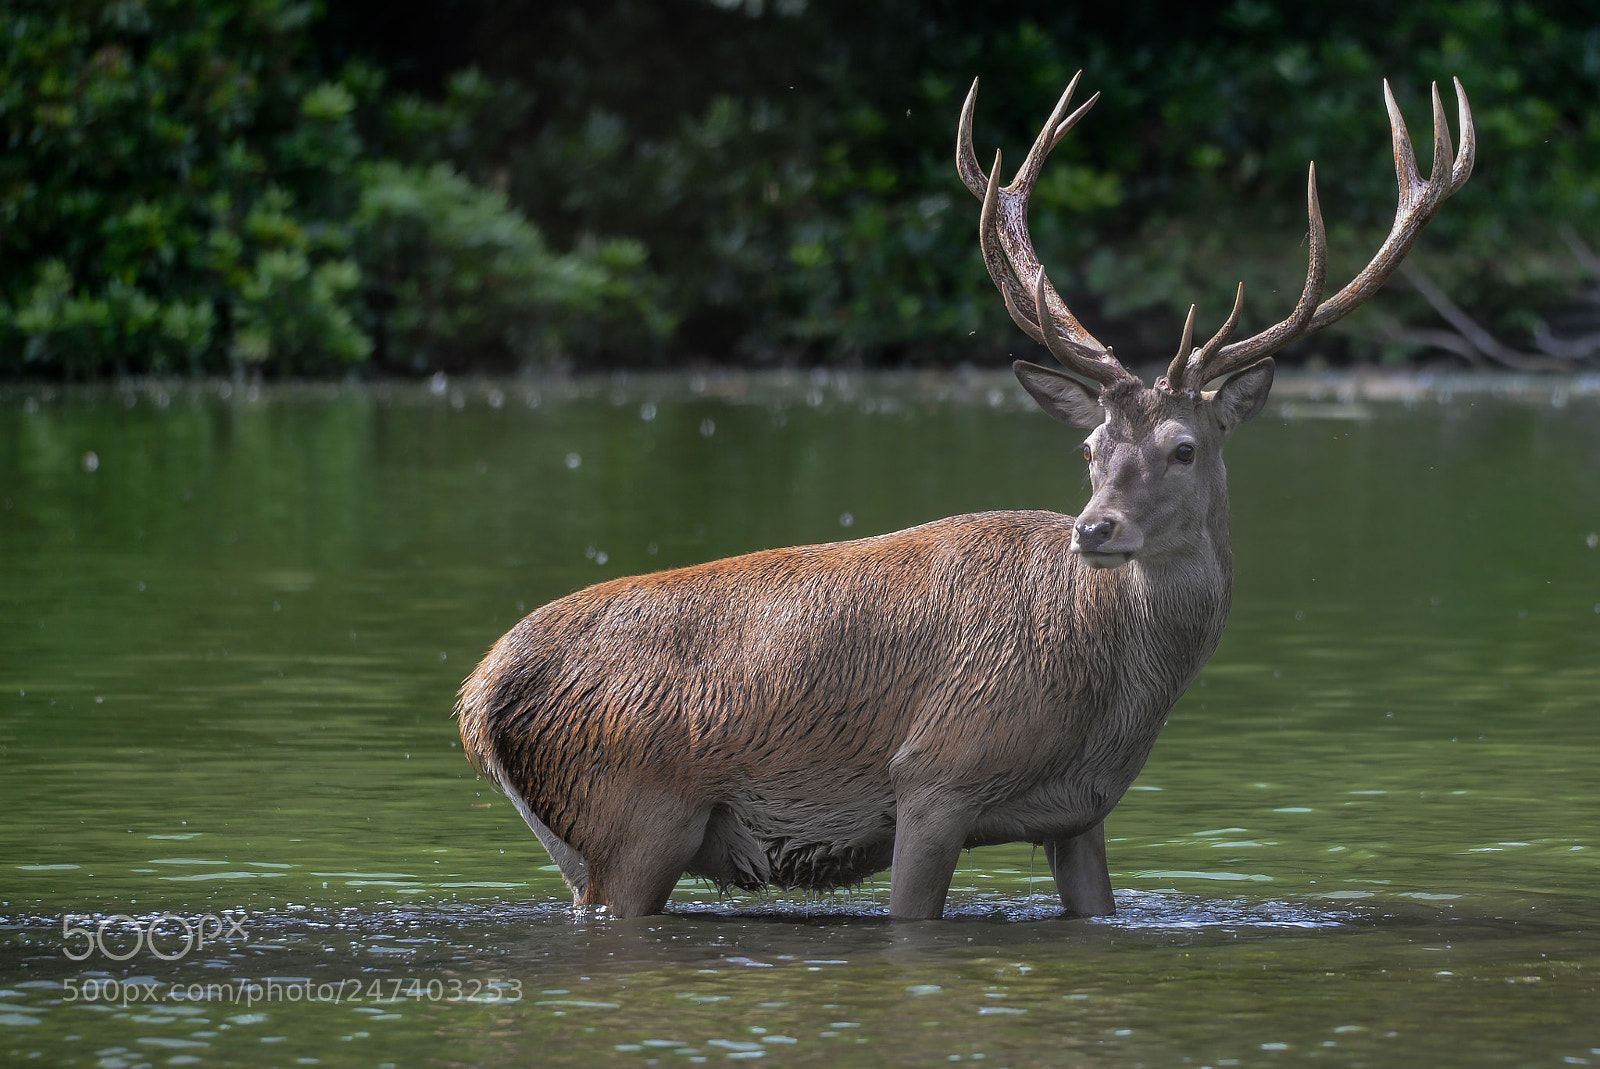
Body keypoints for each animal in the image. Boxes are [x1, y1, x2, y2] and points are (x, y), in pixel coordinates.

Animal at [457, 71, 1474, 920]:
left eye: (1184, 448)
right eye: (1092, 446)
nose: (1095, 529)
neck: (1111, 700)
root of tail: (478, 695)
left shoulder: (1082, 813)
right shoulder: (934, 777)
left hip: (587, 837)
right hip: (635, 811)